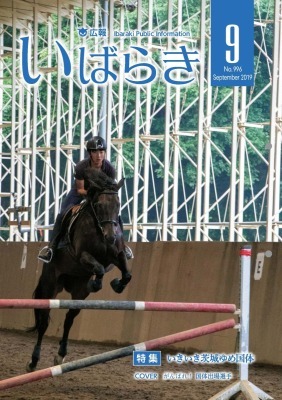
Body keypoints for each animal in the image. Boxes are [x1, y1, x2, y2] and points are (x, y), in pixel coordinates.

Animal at [26, 168, 132, 372]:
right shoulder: (83, 255)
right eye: (98, 204)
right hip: (51, 284)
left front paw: (117, 284)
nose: (110, 236)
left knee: (69, 318)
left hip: (79, 291)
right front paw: (97, 283)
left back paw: (60, 355)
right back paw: (33, 361)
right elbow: (98, 268)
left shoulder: (117, 255)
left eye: (118, 204)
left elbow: (127, 273)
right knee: (43, 322)